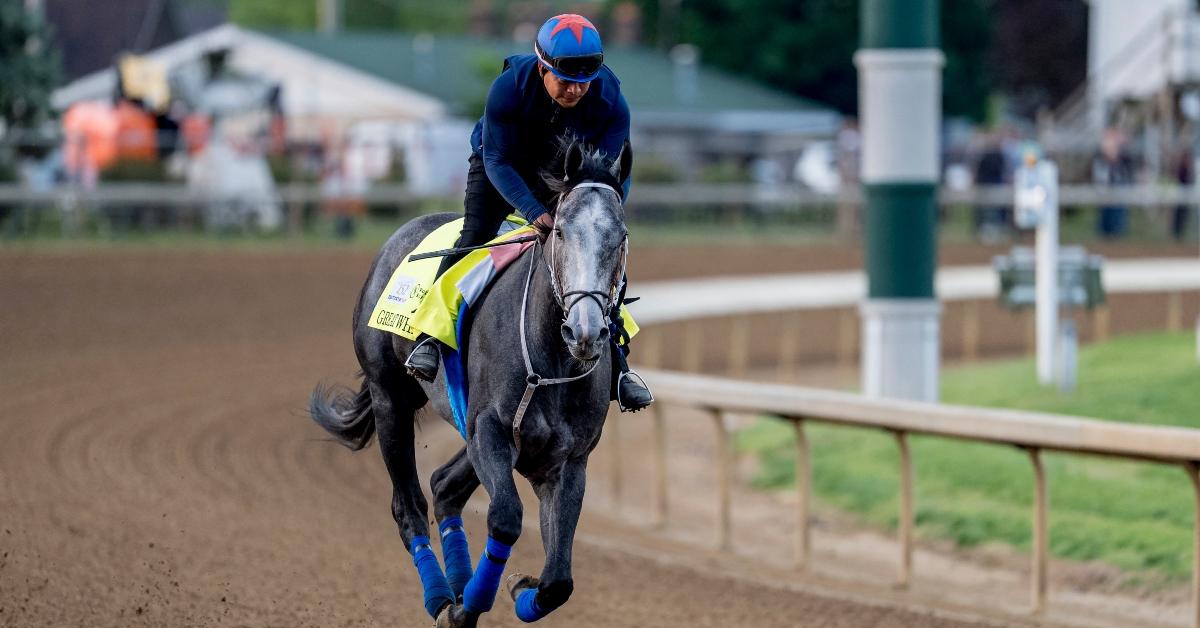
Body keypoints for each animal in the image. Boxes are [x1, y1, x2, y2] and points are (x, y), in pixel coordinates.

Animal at [309, 139, 633, 627]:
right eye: (560, 232)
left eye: (620, 236)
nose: (586, 331)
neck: (550, 360)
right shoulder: (490, 430)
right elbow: (505, 518)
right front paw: (465, 609)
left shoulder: (566, 458)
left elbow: (559, 579)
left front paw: (519, 587)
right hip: (390, 400)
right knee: (409, 507)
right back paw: (442, 597)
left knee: (444, 486)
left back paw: (458, 584)